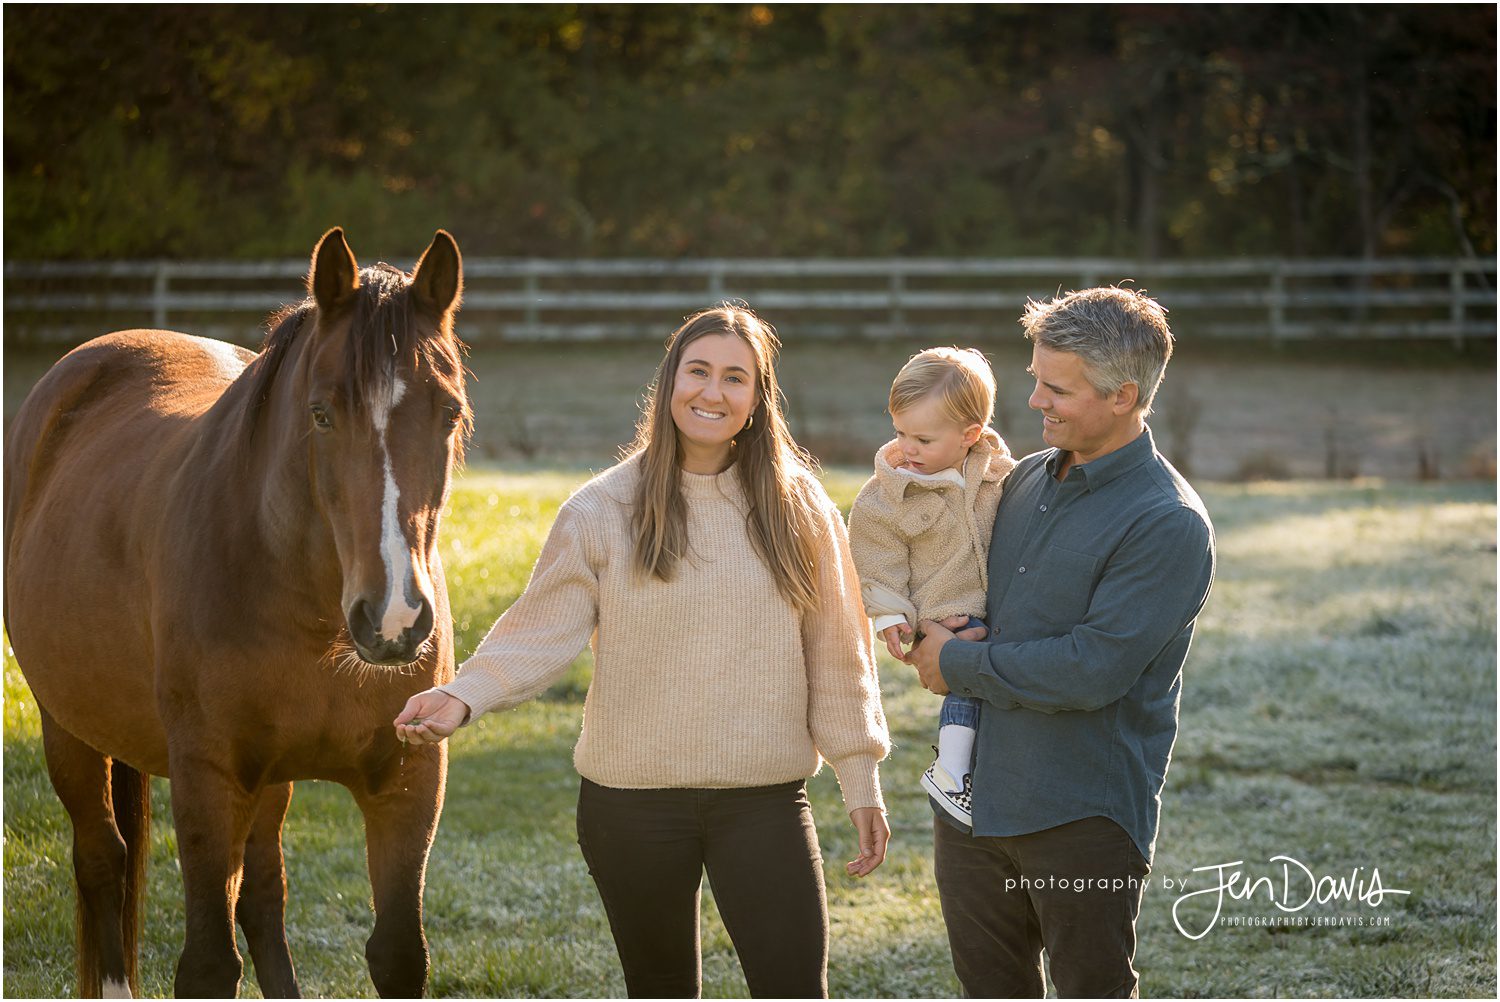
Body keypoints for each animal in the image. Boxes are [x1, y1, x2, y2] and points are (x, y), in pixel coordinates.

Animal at [4, 231, 468, 996]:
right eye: (320, 413)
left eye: (450, 412)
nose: (394, 620)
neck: (314, 623)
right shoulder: (208, 781)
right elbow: (208, 963)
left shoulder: (407, 782)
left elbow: (397, 950)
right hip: (67, 729)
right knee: (102, 860)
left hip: (269, 782)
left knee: (262, 896)